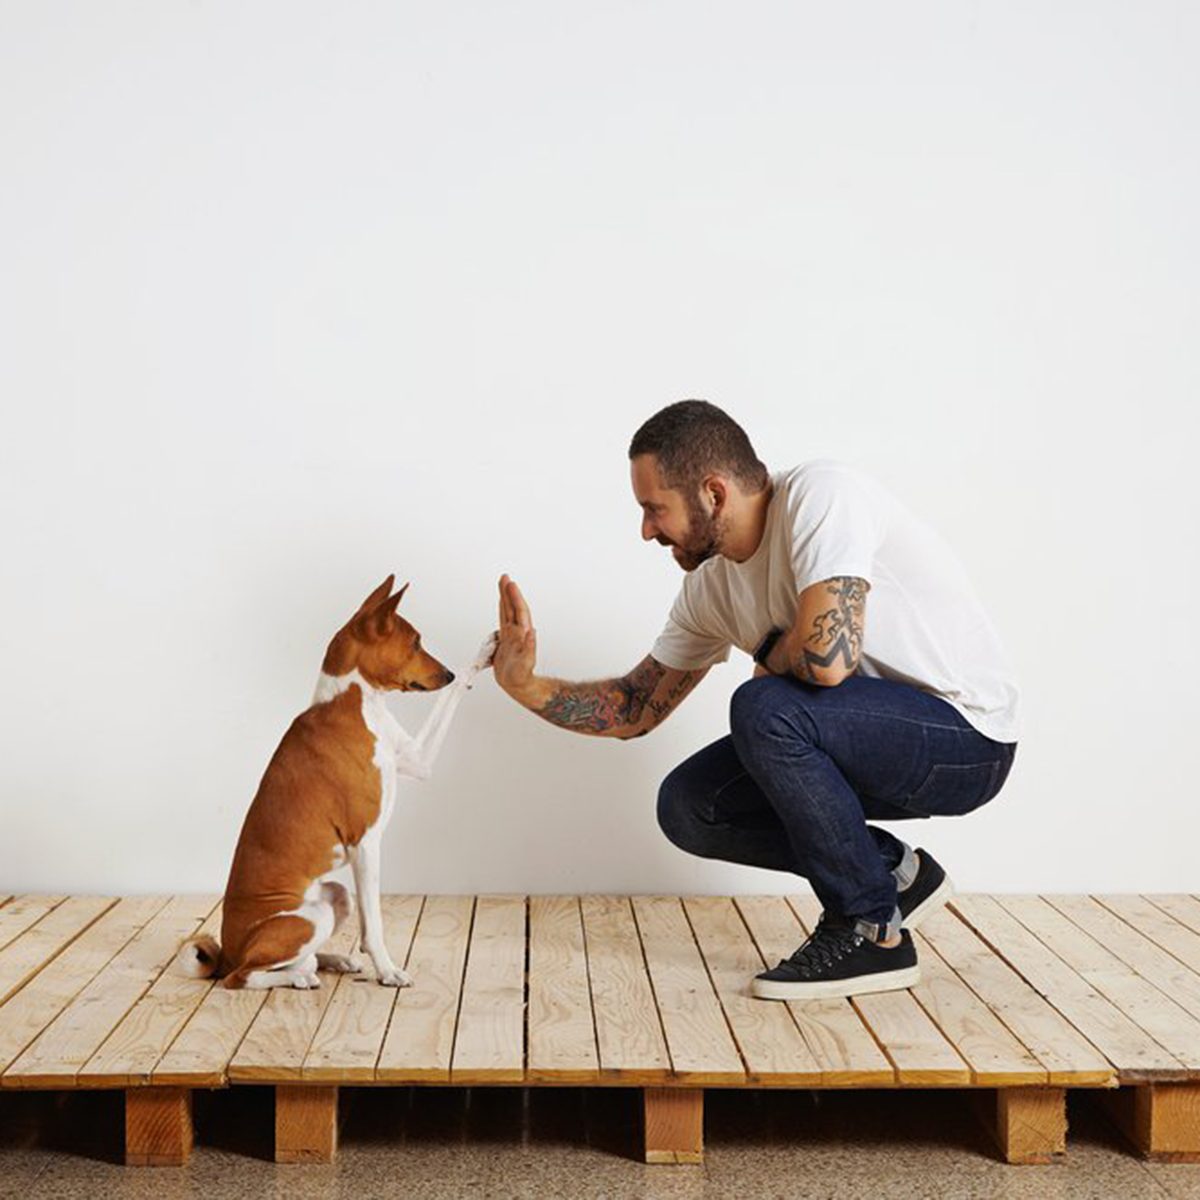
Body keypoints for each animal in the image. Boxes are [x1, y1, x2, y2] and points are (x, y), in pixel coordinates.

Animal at [171, 576, 494, 988]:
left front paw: (485, 652)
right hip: (309, 920)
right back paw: (300, 977)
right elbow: (374, 924)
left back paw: (333, 960)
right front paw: (387, 970)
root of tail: (228, 953)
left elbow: (453, 697)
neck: (356, 703)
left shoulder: (419, 761)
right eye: (416, 643)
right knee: (244, 976)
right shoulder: (366, 842)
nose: (448, 673)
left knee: (297, 958)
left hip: (336, 895)